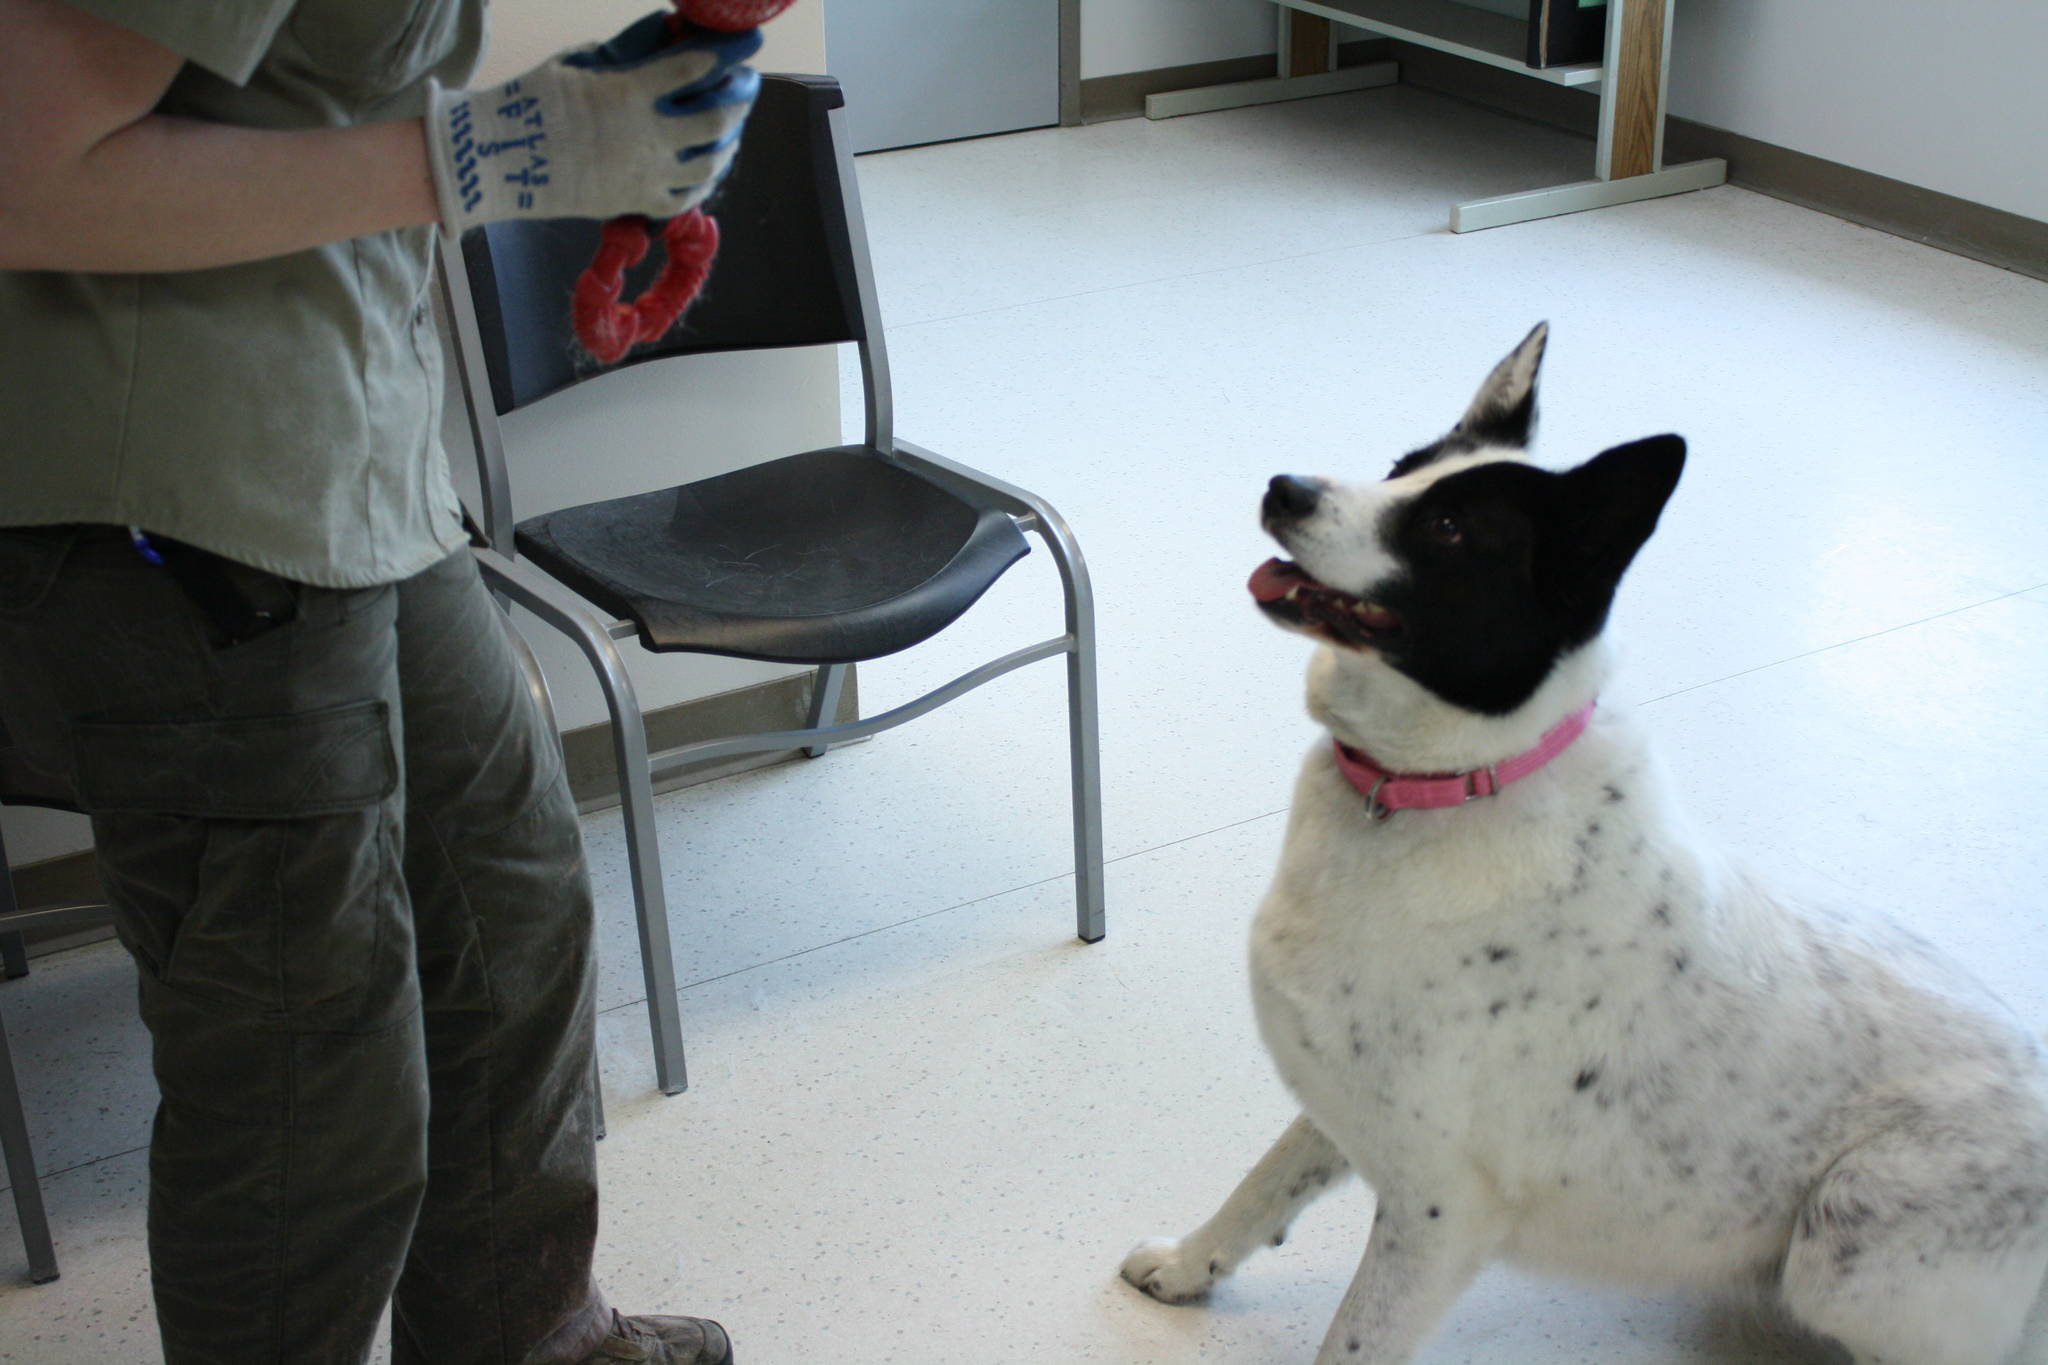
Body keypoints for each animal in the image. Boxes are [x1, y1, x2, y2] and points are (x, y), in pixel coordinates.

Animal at [1122, 327, 2048, 1365]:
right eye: (1403, 469)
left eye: (1448, 528)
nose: (1284, 487)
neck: (1453, 780)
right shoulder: (1347, 1103)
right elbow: (1262, 1183)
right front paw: (1189, 1263)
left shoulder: (1439, 1213)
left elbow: (1350, 1341)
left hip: (1846, 1242)